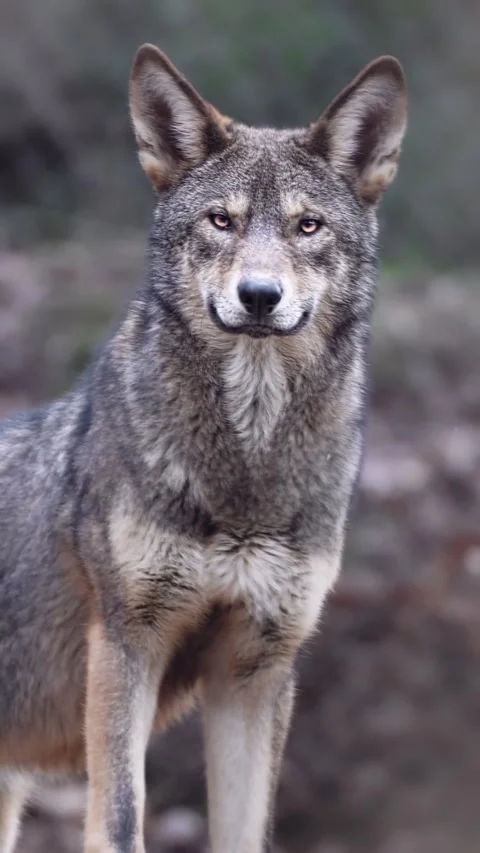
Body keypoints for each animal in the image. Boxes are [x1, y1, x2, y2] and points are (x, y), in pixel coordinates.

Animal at [0, 43, 407, 853]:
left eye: (308, 227)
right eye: (222, 220)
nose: (259, 295)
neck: (245, 474)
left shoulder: (256, 668)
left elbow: (246, 834)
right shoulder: (127, 641)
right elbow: (119, 822)